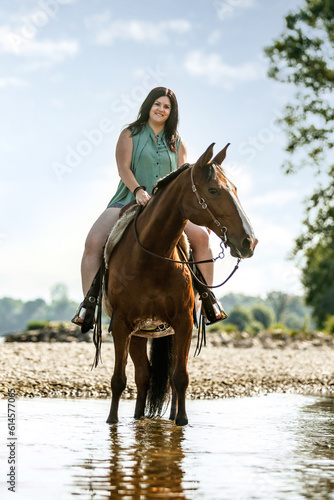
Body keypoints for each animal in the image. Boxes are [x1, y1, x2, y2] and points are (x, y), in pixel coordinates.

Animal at [104, 142, 258, 426]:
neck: (151, 255)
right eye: (213, 190)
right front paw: (112, 420)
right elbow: (119, 379)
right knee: (143, 376)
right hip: (139, 333)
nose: (249, 241)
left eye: (234, 188)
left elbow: (180, 377)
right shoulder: (121, 324)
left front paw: (181, 420)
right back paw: (139, 417)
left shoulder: (184, 322)